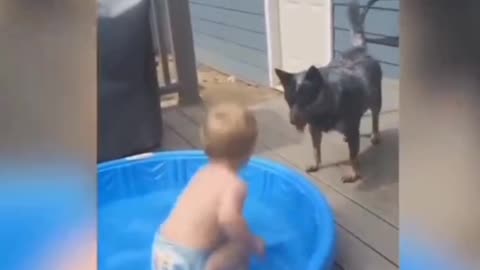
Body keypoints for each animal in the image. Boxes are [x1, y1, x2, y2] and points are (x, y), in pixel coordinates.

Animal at [274, 0, 382, 184]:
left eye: (306, 100)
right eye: (289, 100)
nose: (292, 122)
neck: (324, 107)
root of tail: (360, 50)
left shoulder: (350, 128)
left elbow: (353, 156)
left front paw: (354, 175)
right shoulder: (314, 129)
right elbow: (316, 149)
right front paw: (316, 164)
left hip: (376, 100)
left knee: (375, 117)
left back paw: (374, 135)